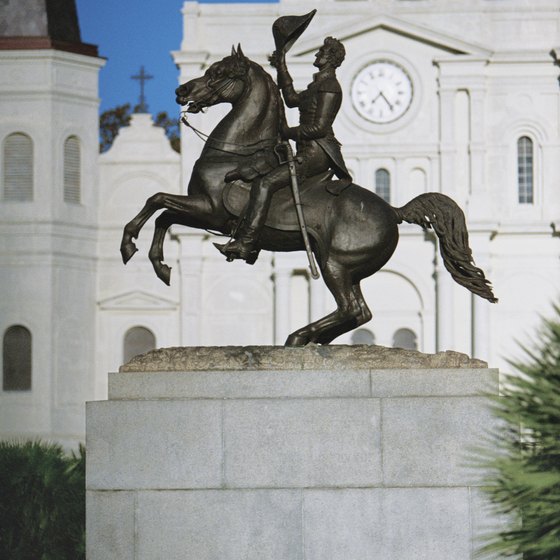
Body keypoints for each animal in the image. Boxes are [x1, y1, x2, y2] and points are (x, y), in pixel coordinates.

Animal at [120, 47, 496, 346]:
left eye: (218, 73)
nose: (181, 90)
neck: (233, 152)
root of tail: (393, 209)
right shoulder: (202, 213)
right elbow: (163, 213)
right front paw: (159, 264)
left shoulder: (210, 210)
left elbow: (157, 200)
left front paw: (130, 246)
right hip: (346, 268)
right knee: (360, 313)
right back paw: (313, 339)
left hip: (335, 263)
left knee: (351, 309)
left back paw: (299, 336)